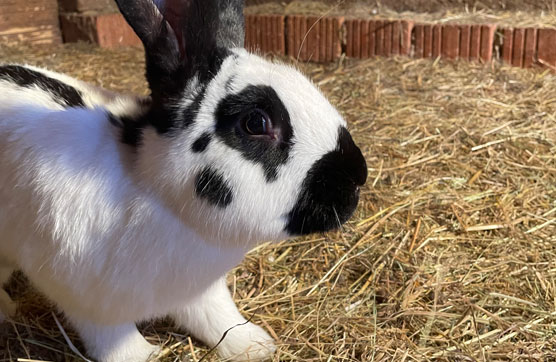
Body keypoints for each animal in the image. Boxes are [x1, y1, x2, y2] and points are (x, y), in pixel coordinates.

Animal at [0, 0, 368, 360]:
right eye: (256, 122)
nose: (358, 174)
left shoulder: (202, 292)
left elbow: (217, 318)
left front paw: (254, 346)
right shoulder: (88, 302)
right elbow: (115, 342)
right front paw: (146, 355)